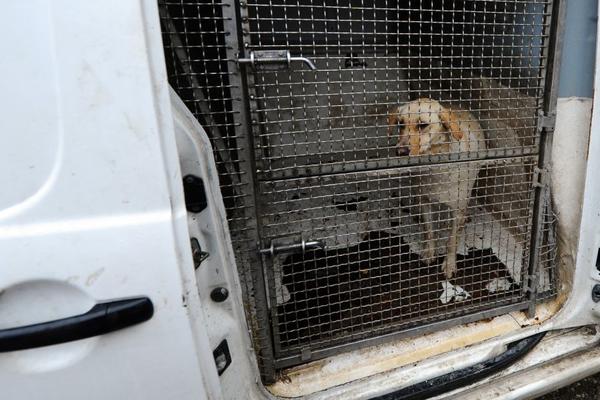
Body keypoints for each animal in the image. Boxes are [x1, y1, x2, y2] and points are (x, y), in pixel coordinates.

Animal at [386, 98, 486, 278]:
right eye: (400, 124)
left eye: (423, 125)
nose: (400, 151)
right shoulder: (424, 201)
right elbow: (429, 231)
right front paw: (429, 252)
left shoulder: (457, 209)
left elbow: (452, 241)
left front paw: (449, 264)